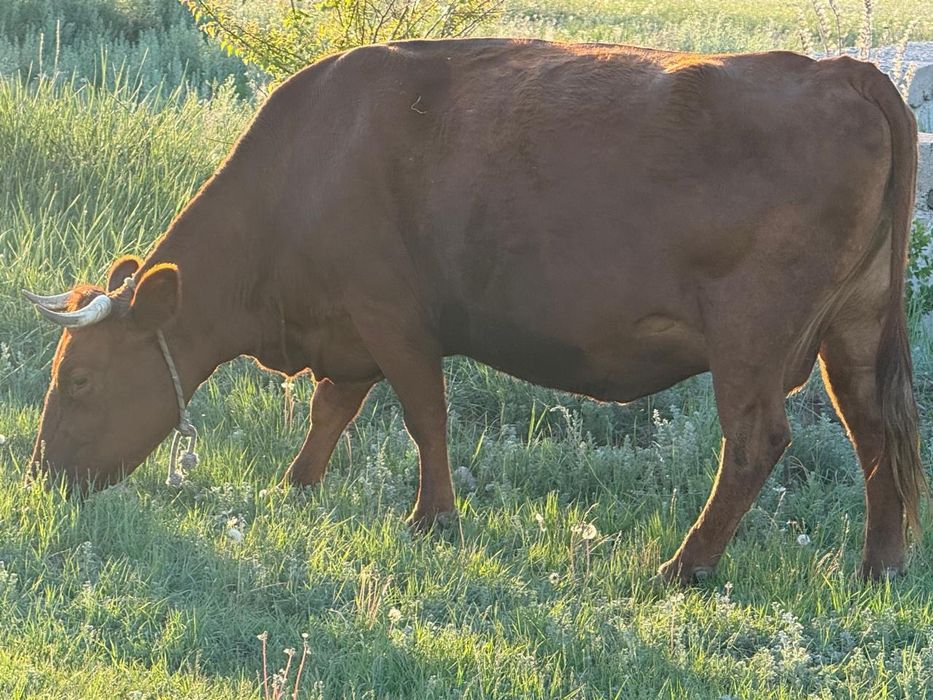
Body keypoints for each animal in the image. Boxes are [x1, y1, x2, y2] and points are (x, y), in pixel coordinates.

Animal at [23, 38, 926, 584]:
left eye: (80, 382)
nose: (39, 478)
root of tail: (842, 70)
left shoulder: (395, 319)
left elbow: (425, 417)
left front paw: (433, 520)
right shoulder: (348, 331)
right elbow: (331, 410)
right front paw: (295, 486)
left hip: (751, 341)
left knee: (755, 443)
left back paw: (684, 567)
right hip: (852, 329)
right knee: (874, 435)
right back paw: (876, 566)